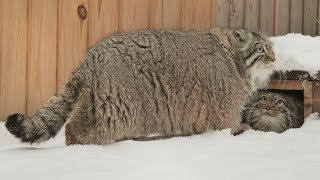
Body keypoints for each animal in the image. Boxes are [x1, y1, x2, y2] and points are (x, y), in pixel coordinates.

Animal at [4, 27, 276, 145]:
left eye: (271, 48)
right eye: (261, 50)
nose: (275, 58)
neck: (232, 56)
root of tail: (90, 57)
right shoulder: (223, 105)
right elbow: (227, 123)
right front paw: (238, 131)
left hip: (97, 100)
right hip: (118, 106)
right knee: (78, 128)